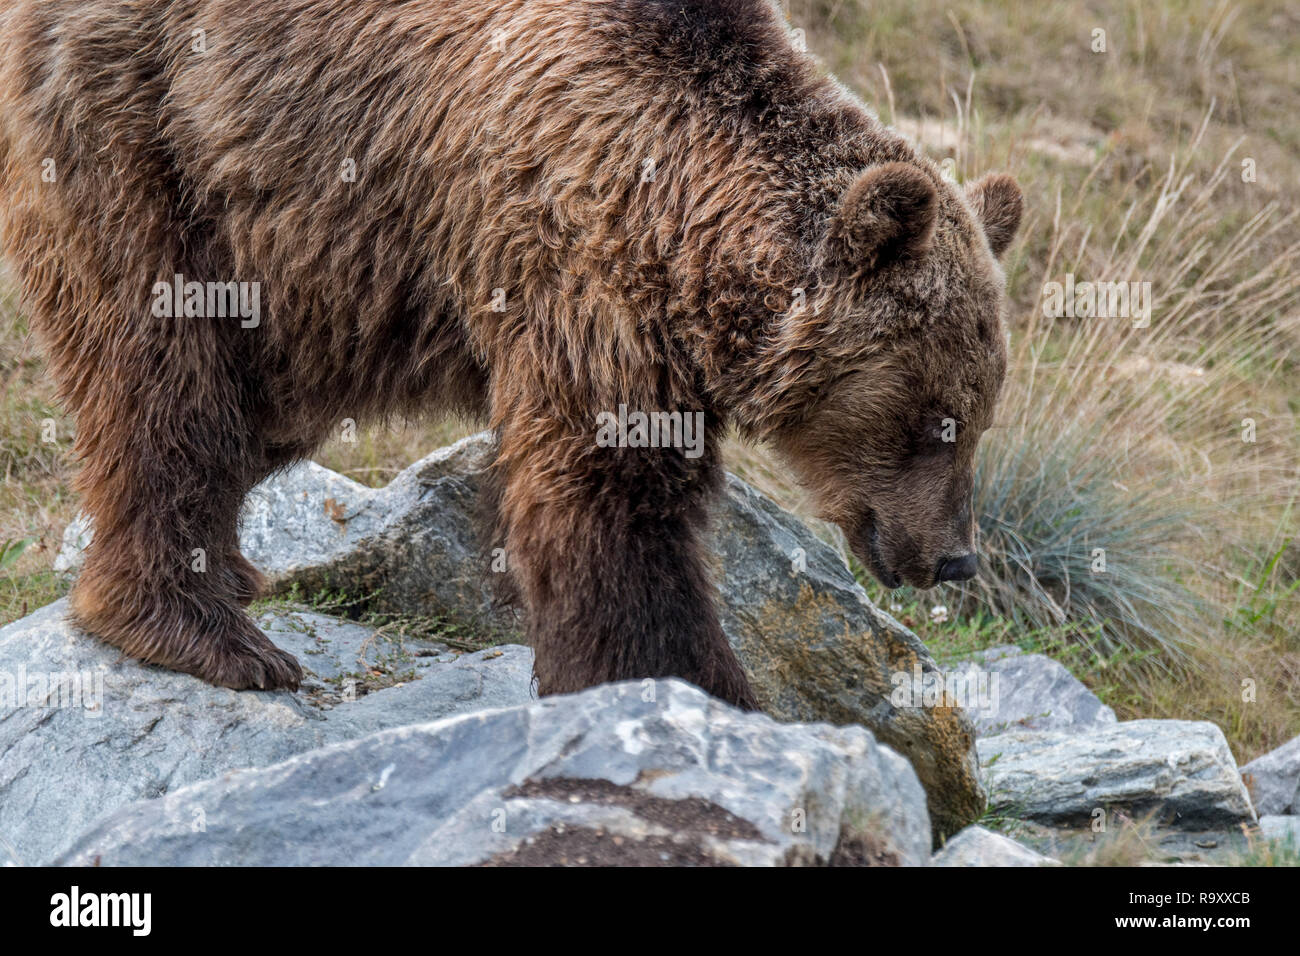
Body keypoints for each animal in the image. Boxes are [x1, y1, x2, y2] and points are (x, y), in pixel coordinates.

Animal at [0, 0, 1021, 709]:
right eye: (933, 418)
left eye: (978, 415)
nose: (955, 559)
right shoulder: (578, 261)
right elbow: (613, 501)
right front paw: (683, 685)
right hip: (154, 135)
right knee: (163, 372)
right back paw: (203, 631)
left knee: (255, 408)